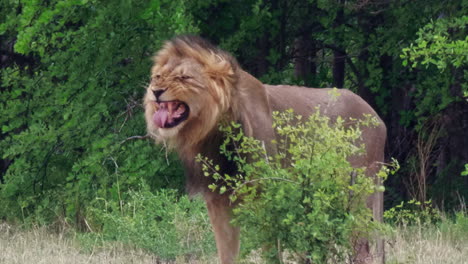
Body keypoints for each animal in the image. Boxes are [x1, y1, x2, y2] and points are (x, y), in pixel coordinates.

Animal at [144, 35, 386, 264]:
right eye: (158, 77)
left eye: (184, 78)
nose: (156, 91)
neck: (212, 134)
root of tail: (379, 120)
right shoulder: (217, 201)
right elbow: (227, 253)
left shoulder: (266, 196)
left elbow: (271, 251)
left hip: (357, 193)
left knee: (362, 250)